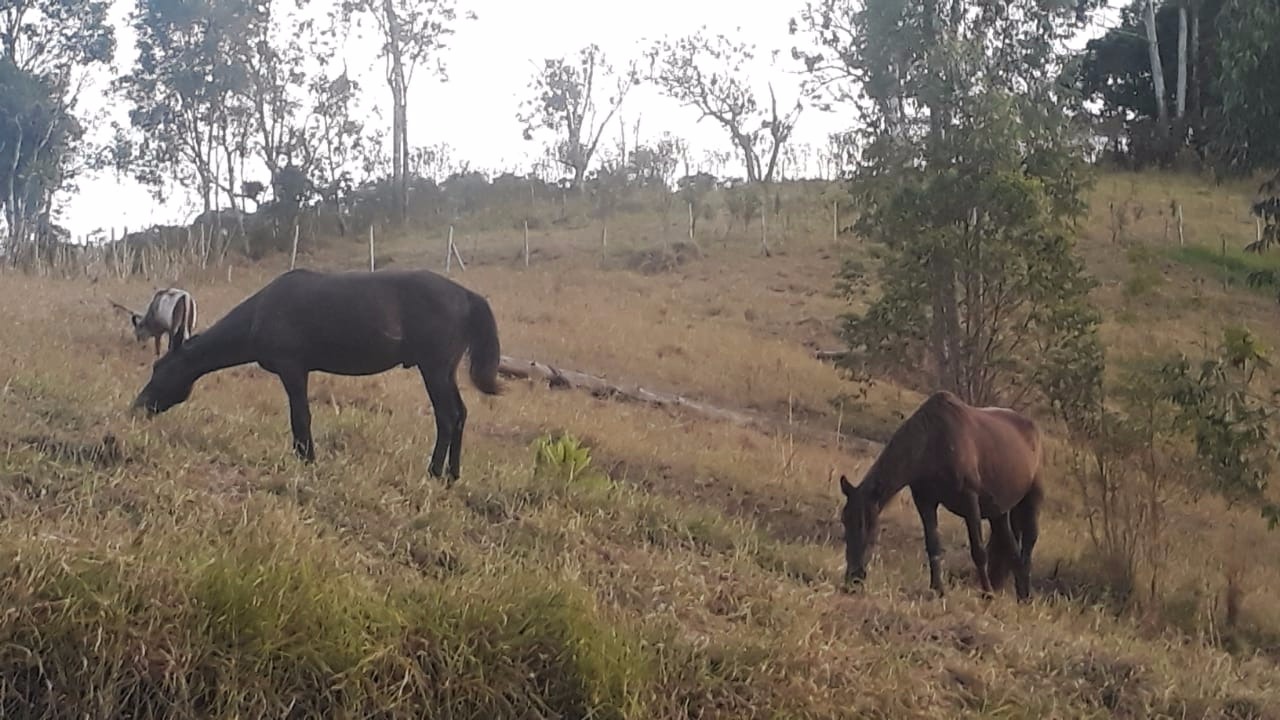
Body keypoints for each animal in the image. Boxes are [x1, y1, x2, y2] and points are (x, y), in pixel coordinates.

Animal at [128, 266, 499, 479]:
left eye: (160, 368)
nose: (137, 407)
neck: (260, 313)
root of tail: (467, 295)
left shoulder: (293, 369)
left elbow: (301, 417)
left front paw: (306, 459)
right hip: (445, 371)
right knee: (460, 414)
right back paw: (452, 474)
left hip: (433, 369)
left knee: (447, 417)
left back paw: (434, 472)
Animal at [834, 389, 1044, 597]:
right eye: (845, 521)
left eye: (870, 525)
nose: (853, 578)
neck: (933, 441)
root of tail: (1032, 428)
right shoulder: (925, 501)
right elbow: (933, 545)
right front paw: (938, 589)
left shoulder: (970, 500)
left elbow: (978, 551)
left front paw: (988, 593)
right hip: (998, 512)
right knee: (1012, 549)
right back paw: (1022, 593)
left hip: (1030, 501)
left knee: (1028, 544)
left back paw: (1024, 594)